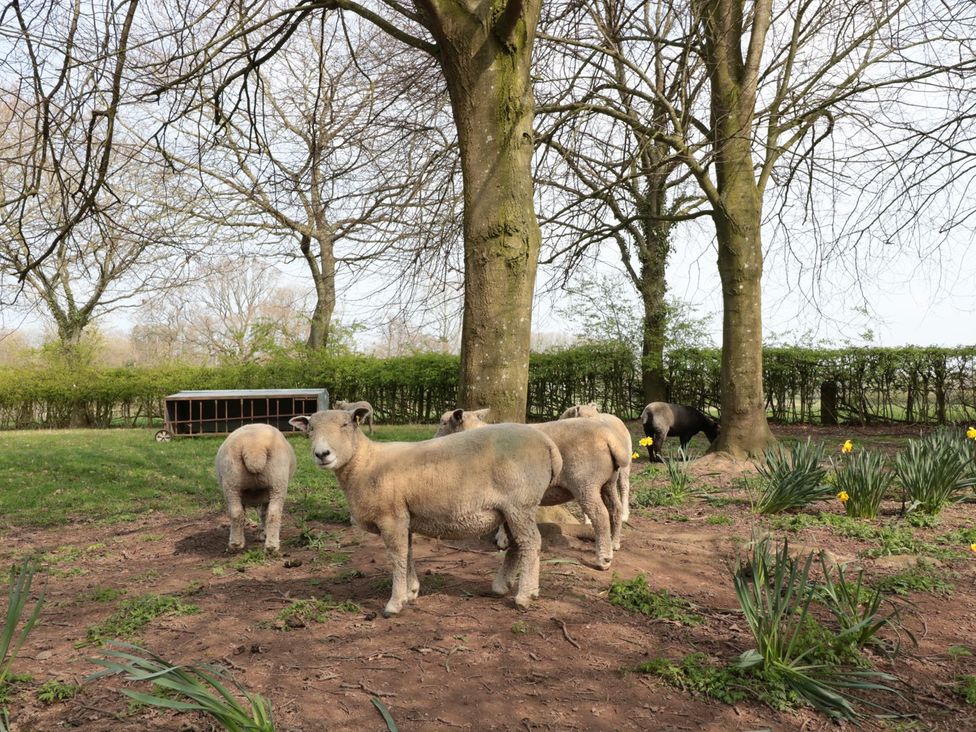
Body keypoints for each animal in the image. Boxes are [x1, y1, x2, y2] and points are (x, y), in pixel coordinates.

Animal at [215, 424, 297, 554]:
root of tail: (254, 447)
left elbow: (249, 513)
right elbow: (264, 513)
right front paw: (264, 534)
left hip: (231, 481)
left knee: (236, 512)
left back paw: (236, 543)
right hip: (278, 482)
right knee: (274, 513)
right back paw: (272, 546)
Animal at [289, 409, 562, 616]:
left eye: (345, 424)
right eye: (309, 429)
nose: (322, 454)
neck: (365, 463)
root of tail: (547, 444)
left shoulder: (391, 516)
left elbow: (397, 556)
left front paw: (394, 603)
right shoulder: (404, 517)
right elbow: (408, 553)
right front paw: (411, 592)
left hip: (520, 504)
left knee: (531, 542)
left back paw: (525, 596)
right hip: (511, 509)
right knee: (517, 545)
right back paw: (503, 586)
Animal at [436, 409, 627, 570]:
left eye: (443, 423)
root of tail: (609, 437)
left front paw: (502, 539)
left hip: (586, 482)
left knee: (600, 515)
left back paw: (604, 559)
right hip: (608, 481)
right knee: (615, 509)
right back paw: (615, 543)